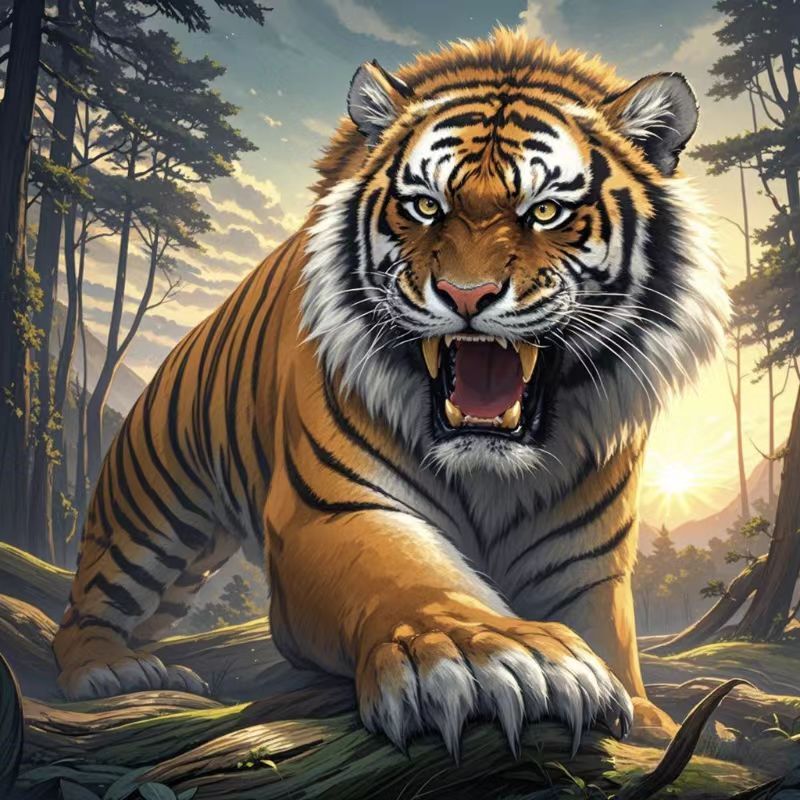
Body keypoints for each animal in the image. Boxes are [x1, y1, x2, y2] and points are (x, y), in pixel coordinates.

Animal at [53, 28, 728, 755]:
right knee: (89, 604)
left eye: (545, 211)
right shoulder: (334, 509)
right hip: (145, 509)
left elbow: (614, 637)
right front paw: (493, 659)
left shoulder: (587, 563)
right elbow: (410, 579)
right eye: (426, 206)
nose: (467, 294)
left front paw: (648, 716)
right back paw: (111, 671)